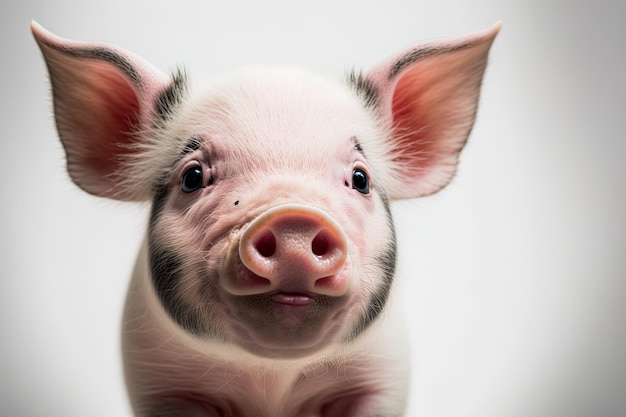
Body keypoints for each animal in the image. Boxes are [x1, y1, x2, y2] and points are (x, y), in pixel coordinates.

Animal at [31, 20, 500, 416]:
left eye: (360, 179)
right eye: (193, 177)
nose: (293, 219)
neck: (273, 379)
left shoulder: (381, 375)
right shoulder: (160, 380)